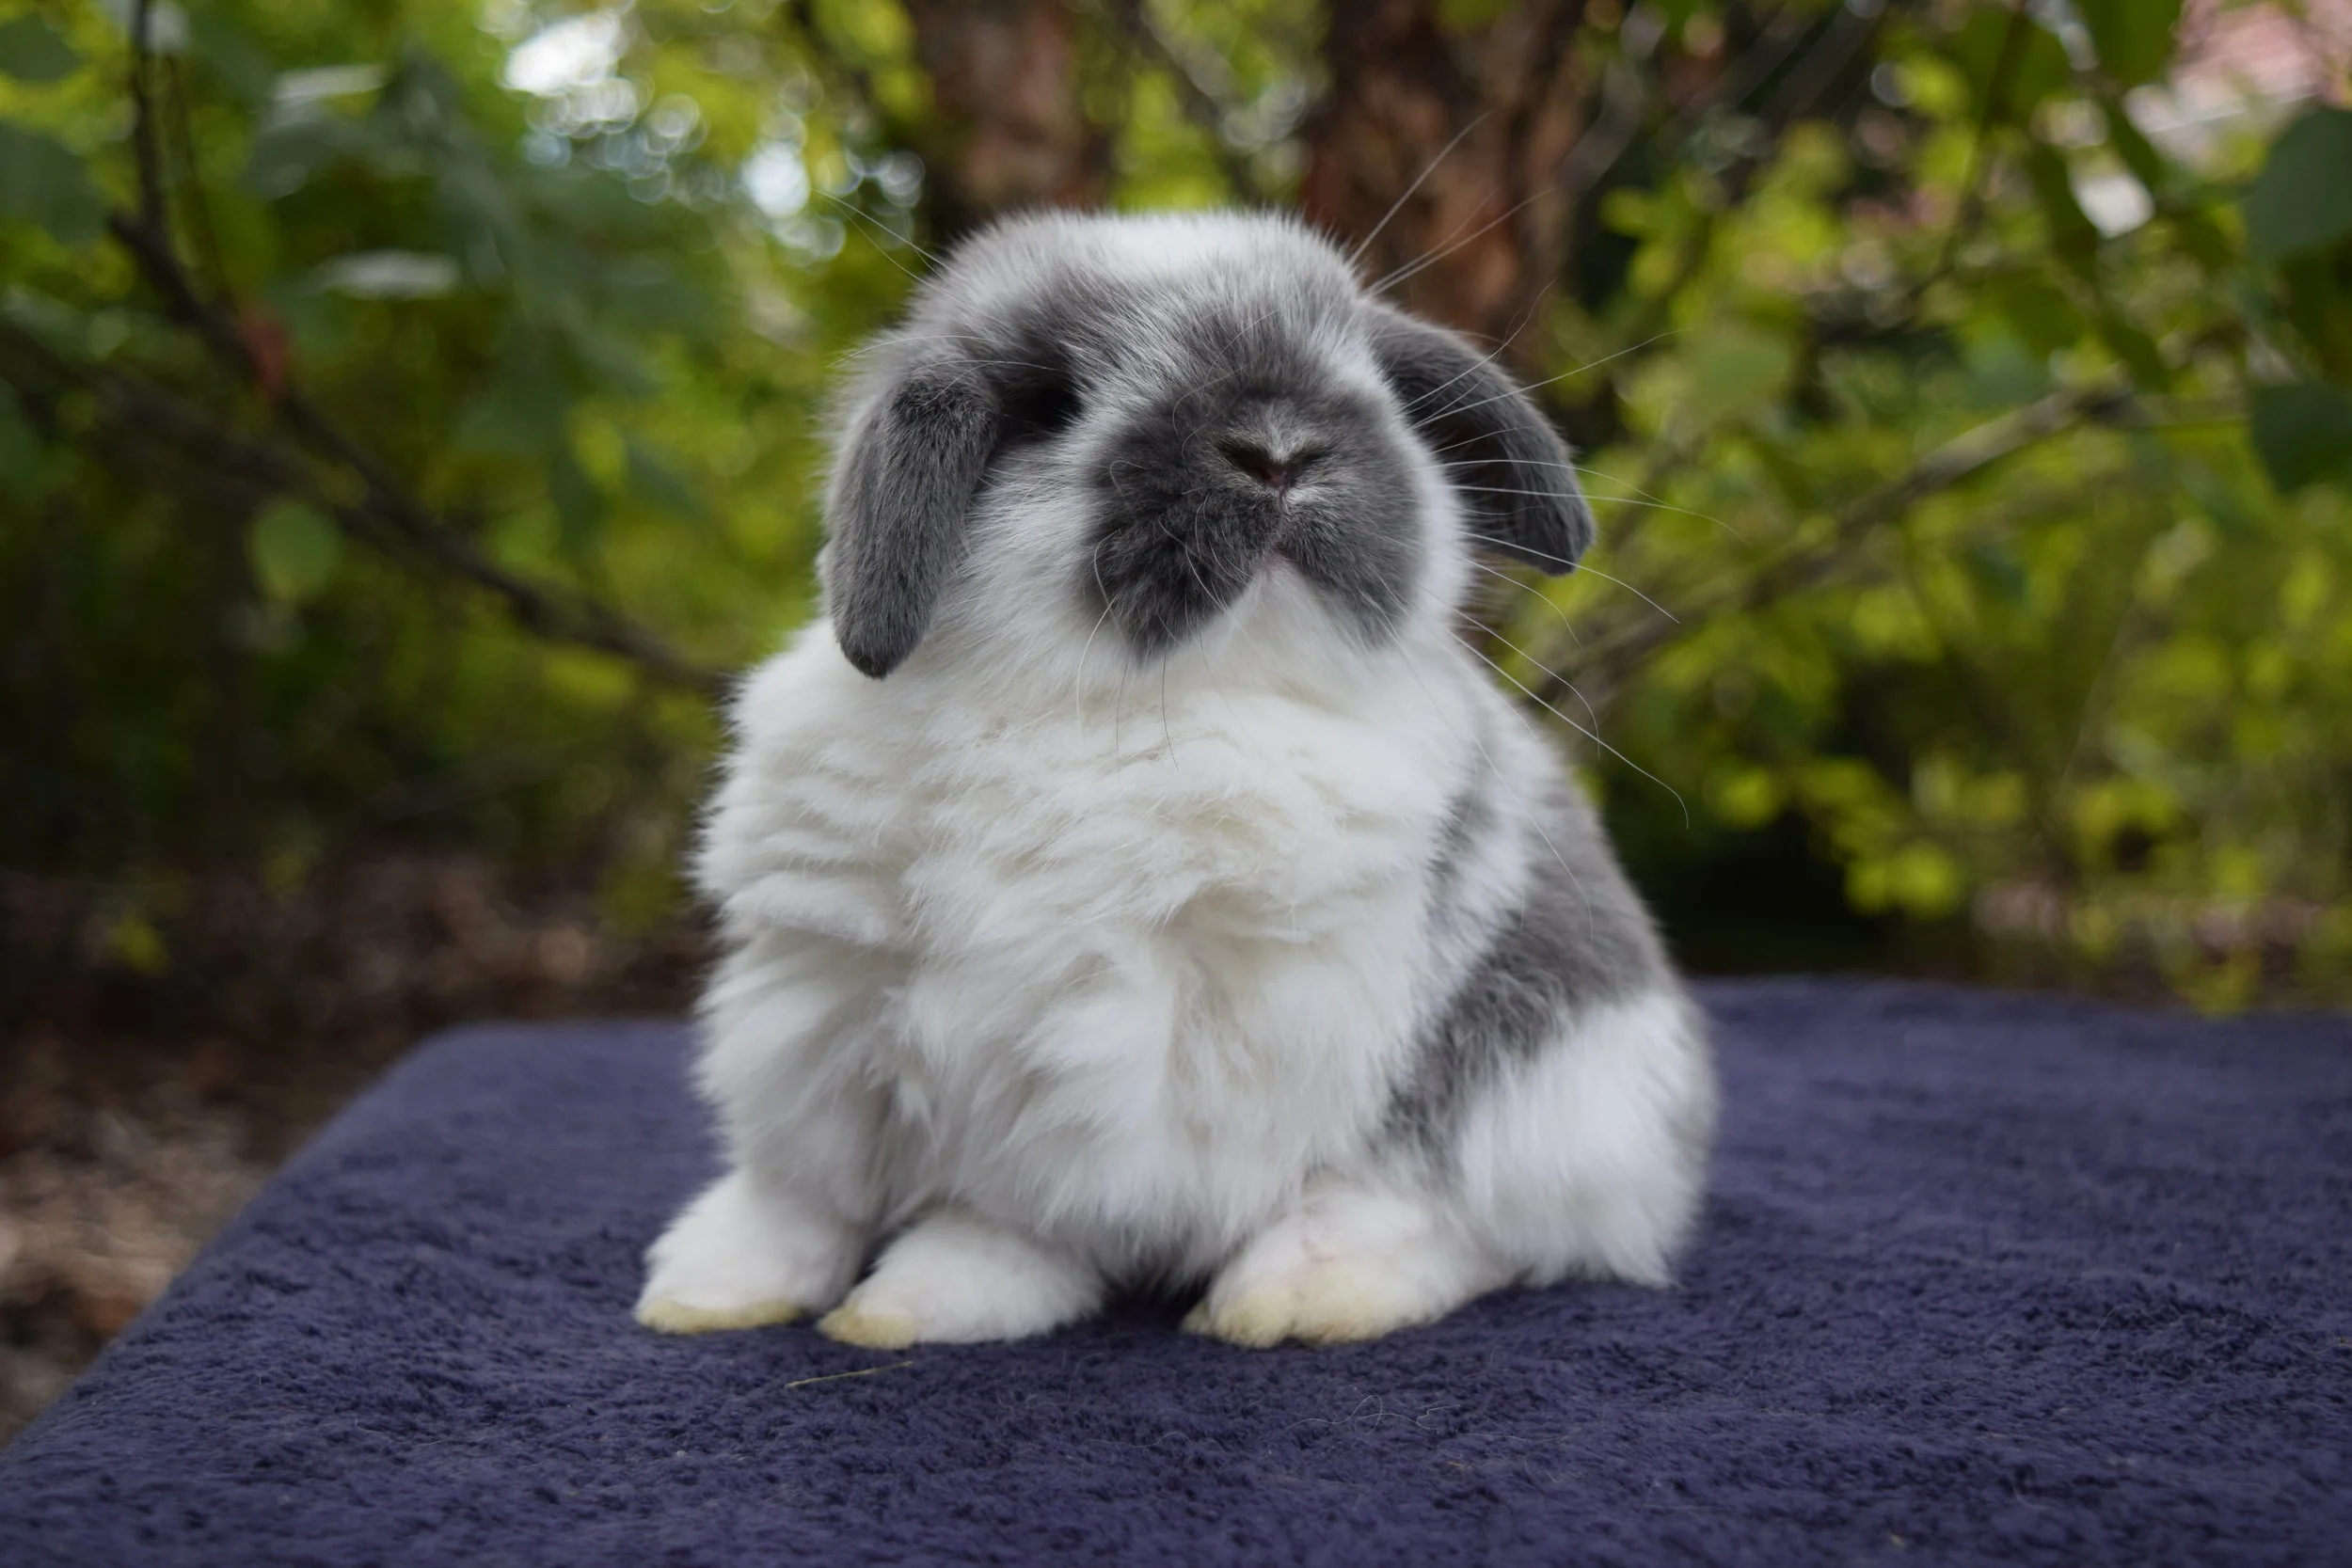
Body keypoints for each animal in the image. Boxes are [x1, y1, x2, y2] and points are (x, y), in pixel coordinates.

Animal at [634, 210, 1716, 1350]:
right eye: (1049, 403)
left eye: (1363, 368)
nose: (1278, 449)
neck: (1131, 706)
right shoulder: (823, 1008)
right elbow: (801, 1190)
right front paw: (709, 1289)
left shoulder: (1096, 1063)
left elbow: (1012, 1215)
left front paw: (912, 1302)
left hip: (1541, 1089)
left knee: (1465, 1215)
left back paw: (1296, 1291)